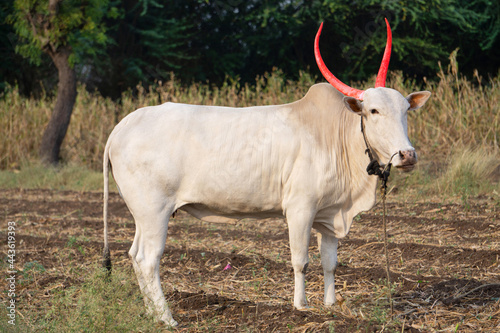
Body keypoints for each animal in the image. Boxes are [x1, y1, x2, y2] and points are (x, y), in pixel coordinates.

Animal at [101, 19, 430, 326]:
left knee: (134, 255)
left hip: (143, 215)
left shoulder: (330, 213)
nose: (407, 155)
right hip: (154, 211)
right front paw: (301, 307)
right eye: (373, 111)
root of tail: (120, 127)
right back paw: (167, 318)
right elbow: (301, 260)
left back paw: (151, 314)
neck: (337, 135)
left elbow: (330, 262)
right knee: (148, 259)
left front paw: (330, 306)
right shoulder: (300, 208)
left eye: (405, 110)